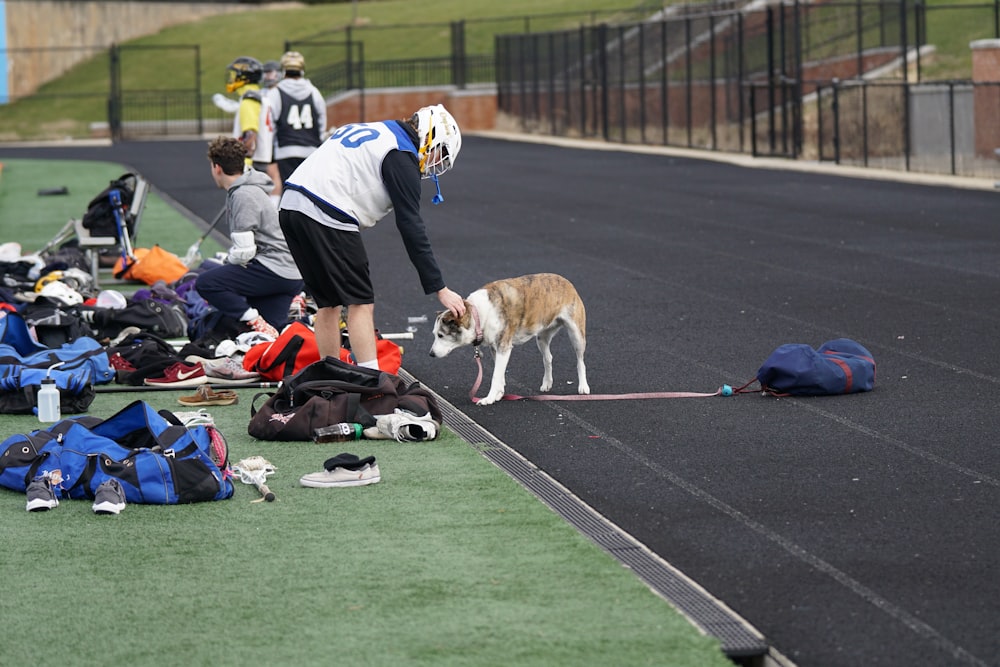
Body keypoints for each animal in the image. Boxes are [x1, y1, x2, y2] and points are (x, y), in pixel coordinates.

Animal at [428, 272, 584, 408]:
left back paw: (583, 387)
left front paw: (489, 398)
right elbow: (500, 373)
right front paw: (499, 394)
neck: (478, 314)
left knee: (580, 361)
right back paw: (547, 383)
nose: (431, 354)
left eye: (441, 335)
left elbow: (496, 375)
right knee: (548, 358)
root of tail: (566, 281)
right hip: (542, 337)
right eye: (434, 334)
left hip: (576, 334)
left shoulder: (503, 347)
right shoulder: (494, 348)